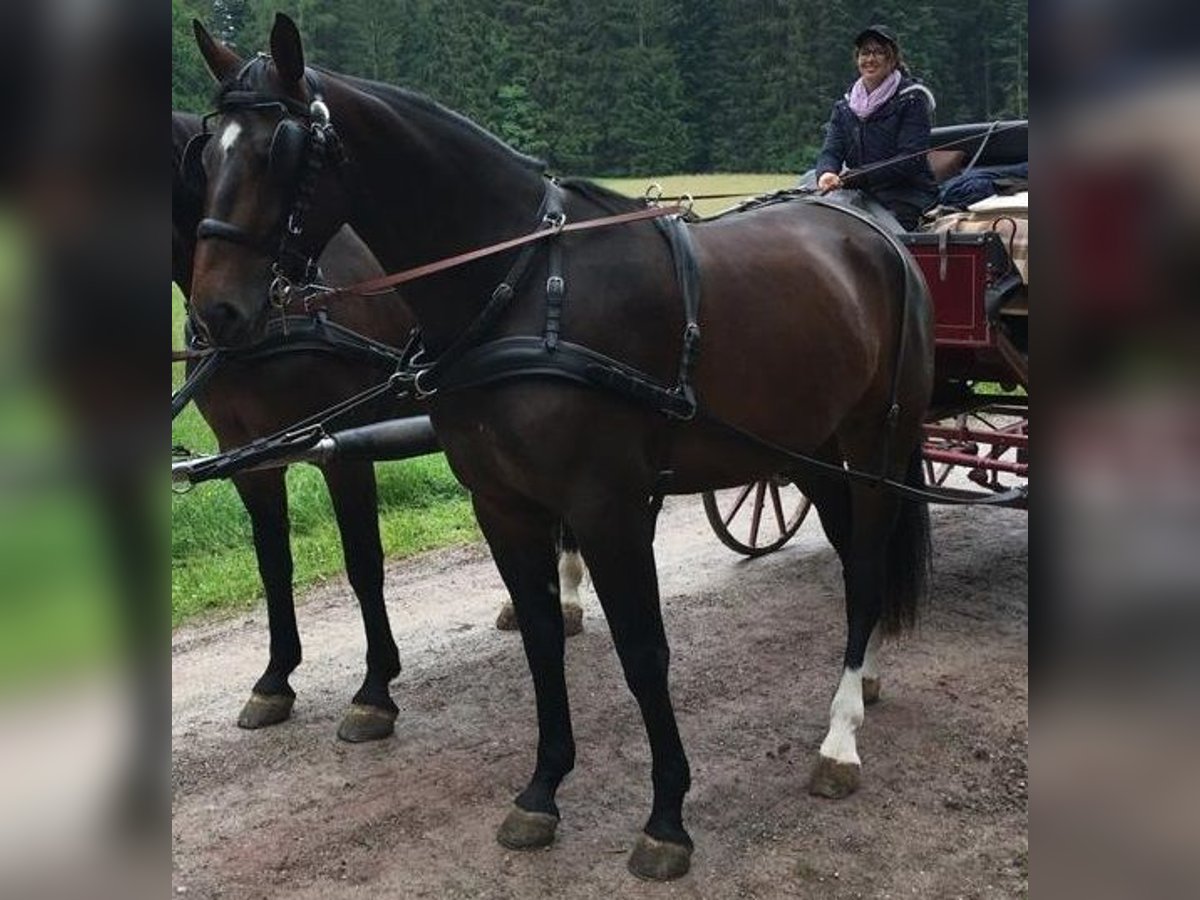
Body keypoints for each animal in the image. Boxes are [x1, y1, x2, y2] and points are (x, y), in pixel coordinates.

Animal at [174, 111, 585, 742]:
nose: (215, 313)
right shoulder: (248, 455)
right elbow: (273, 565)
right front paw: (275, 680)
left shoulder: (341, 448)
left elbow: (364, 563)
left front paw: (374, 691)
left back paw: (564, 597)